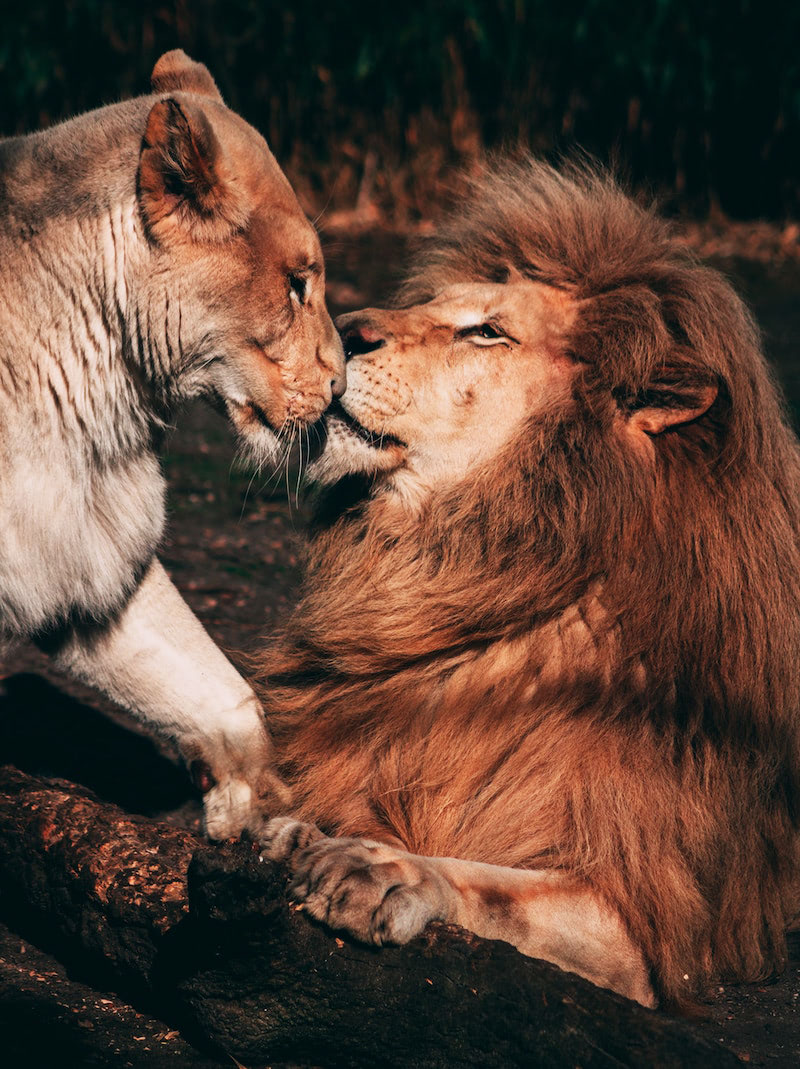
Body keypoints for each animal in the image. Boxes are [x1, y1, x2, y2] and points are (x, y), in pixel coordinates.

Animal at [257, 159, 800, 1008]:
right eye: (431, 304)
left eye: (488, 330)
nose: (342, 328)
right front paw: (295, 831)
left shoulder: (647, 927)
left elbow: (495, 884)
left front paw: (377, 867)